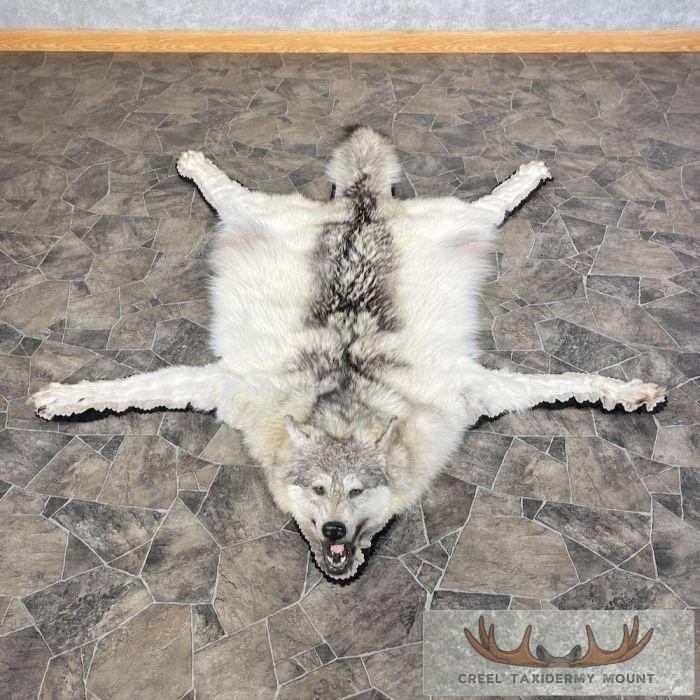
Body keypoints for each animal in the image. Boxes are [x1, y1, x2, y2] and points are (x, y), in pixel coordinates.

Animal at [31, 127, 666, 580]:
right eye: (318, 491)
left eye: (356, 491)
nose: (335, 531)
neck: (344, 401)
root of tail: (363, 204)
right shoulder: (228, 385)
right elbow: (132, 386)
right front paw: (66, 398)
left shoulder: (473, 390)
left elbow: (571, 380)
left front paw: (629, 391)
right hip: (255, 215)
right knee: (227, 191)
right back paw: (195, 163)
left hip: (463, 222)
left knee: (495, 202)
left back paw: (528, 173)